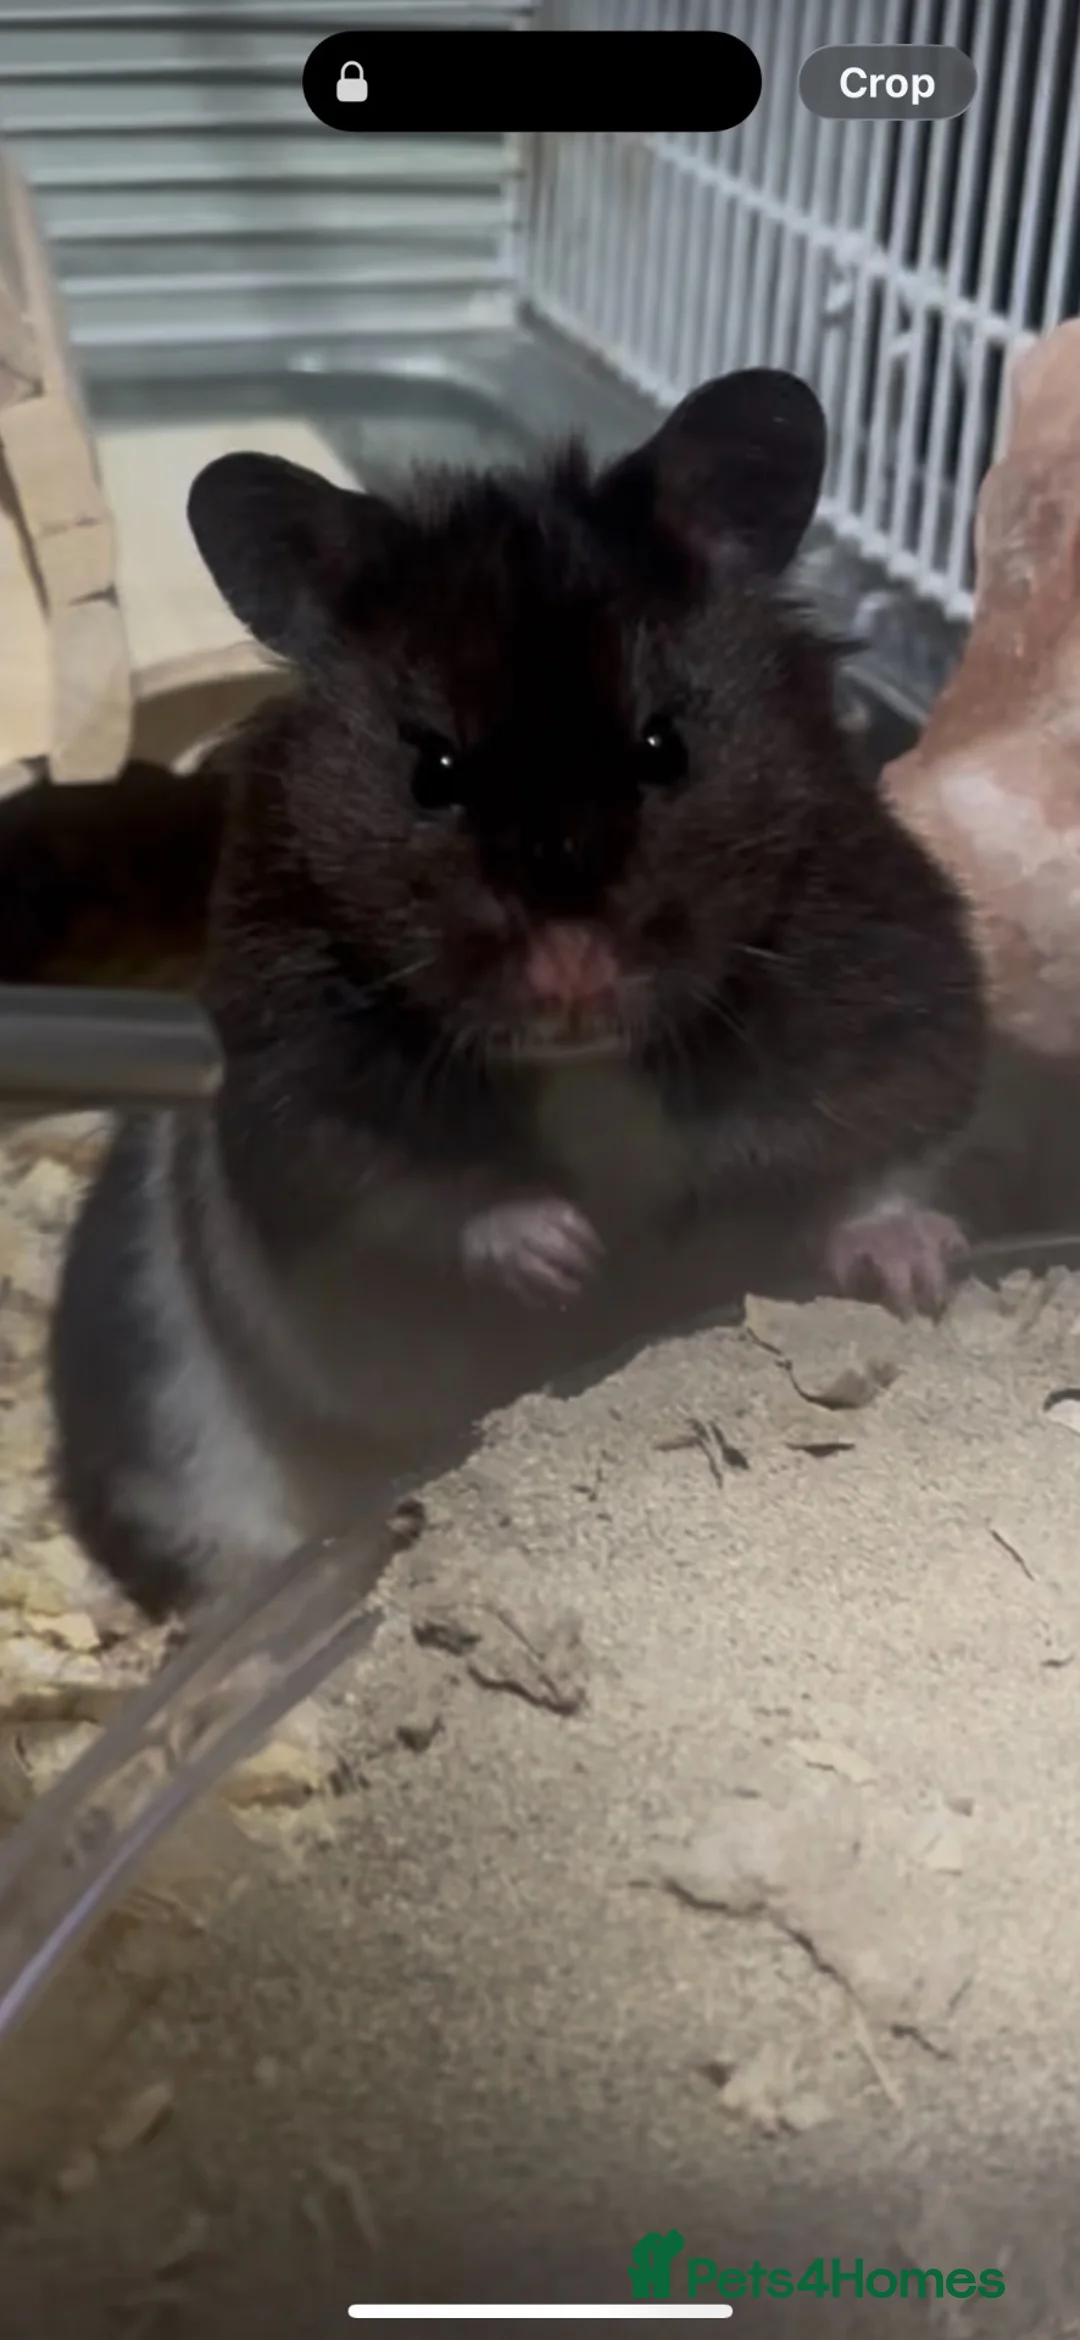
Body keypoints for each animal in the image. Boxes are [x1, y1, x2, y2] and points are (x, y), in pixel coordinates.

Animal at [48, 369, 985, 1617]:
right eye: (433, 771)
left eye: (664, 747)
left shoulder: (897, 1006)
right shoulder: (294, 1106)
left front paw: (921, 1273)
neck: (587, 1066)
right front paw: (566, 1252)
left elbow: (884, 1160)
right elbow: (417, 1196)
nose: (571, 978)